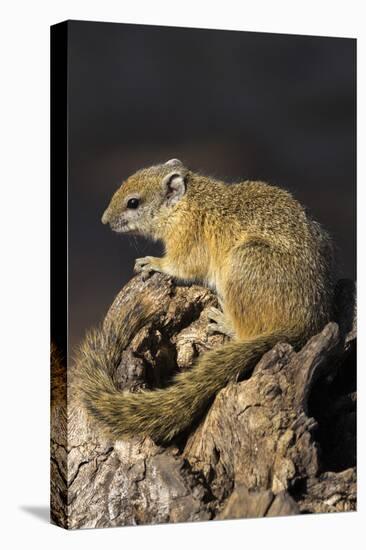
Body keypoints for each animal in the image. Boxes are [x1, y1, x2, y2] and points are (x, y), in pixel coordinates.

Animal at [77, 158, 334, 444]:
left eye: (133, 202)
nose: (104, 220)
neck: (187, 202)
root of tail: (306, 323)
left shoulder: (188, 240)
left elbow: (181, 266)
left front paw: (152, 263)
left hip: (243, 262)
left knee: (246, 332)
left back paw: (223, 321)